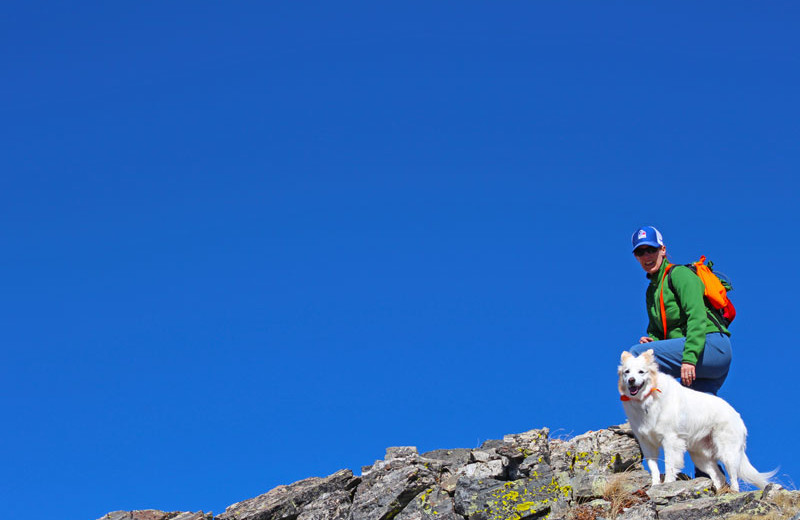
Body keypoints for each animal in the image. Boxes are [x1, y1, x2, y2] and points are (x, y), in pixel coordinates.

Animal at [620, 350, 776, 492]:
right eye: (627, 372)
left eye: (641, 372)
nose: (631, 380)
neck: (647, 400)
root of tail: (737, 415)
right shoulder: (647, 443)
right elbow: (654, 468)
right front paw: (655, 485)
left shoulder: (670, 441)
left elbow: (669, 465)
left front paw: (667, 484)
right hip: (701, 457)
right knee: (719, 476)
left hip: (727, 453)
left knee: (733, 478)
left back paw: (732, 493)